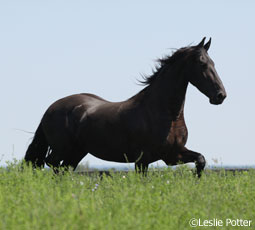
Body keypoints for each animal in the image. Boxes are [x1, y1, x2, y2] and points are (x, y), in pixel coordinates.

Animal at [24, 38, 227, 177]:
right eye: (202, 63)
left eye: (213, 63)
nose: (220, 95)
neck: (166, 114)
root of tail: (51, 108)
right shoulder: (143, 159)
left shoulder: (172, 154)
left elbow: (200, 160)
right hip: (62, 149)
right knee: (53, 164)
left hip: (77, 151)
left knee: (64, 169)